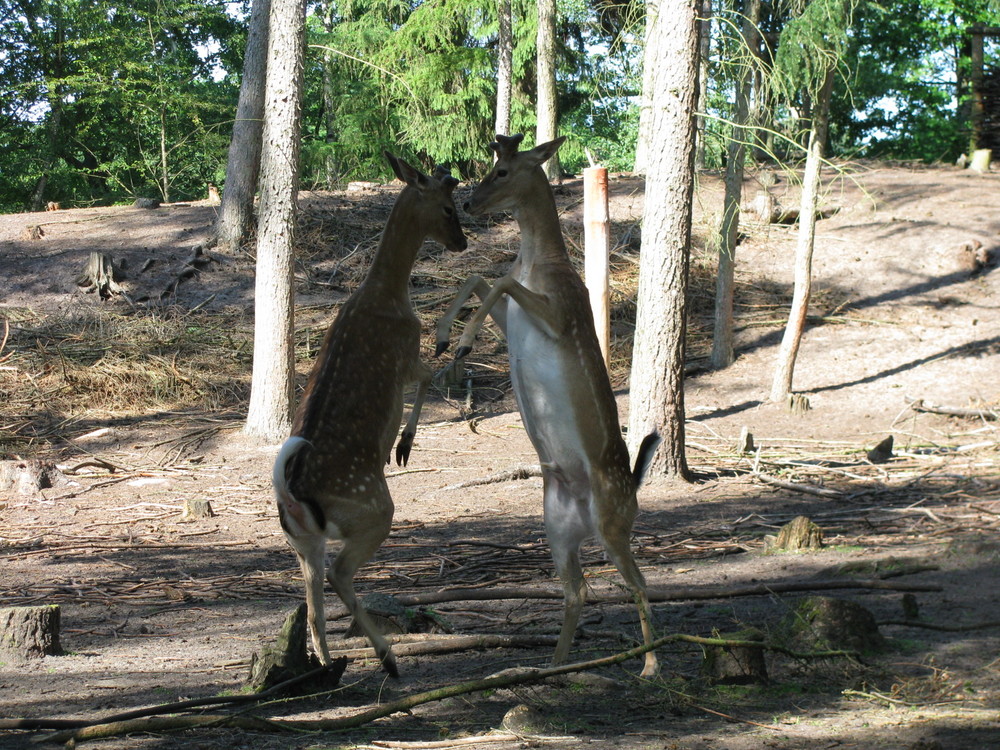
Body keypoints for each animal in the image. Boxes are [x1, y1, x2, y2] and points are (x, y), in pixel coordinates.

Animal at [274, 156, 468, 680]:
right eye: (449, 208)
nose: (463, 242)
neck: (388, 293)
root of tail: (293, 497)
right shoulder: (406, 354)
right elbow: (431, 374)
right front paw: (402, 446)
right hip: (373, 511)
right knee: (341, 574)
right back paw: (388, 658)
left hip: (301, 544)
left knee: (312, 607)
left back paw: (325, 666)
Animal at [440, 135, 664, 680]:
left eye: (502, 170)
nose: (469, 203)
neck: (537, 264)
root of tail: (631, 491)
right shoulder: (516, 314)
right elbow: (480, 275)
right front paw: (444, 343)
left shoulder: (561, 313)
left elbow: (498, 281)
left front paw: (461, 345)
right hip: (554, 528)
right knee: (576, 589)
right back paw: (552, 667)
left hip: (612, 523)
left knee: (640, 582)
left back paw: (650, 666)